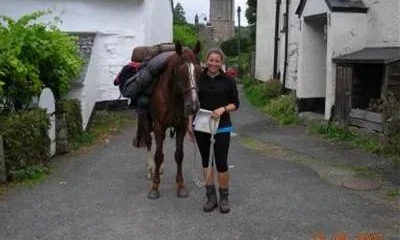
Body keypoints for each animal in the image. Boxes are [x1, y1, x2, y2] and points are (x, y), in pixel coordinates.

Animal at [145, 40, 202, 199]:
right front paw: (155, 187)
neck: (172, 96)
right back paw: (151, 169)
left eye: (200, 71)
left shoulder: (181, 126)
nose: (193, 105)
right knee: (149, 144)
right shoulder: (158, 125)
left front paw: (181, 186)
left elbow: (179, 155)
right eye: (180, 71)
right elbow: (158, 155)